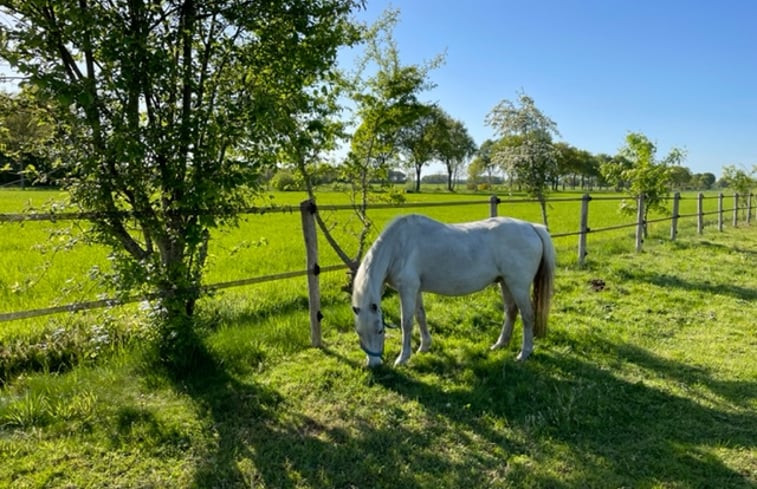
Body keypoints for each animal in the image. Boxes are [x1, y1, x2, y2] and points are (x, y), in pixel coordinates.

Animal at [350, 214, 556, 366]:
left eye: (380, 331)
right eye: (359, 333)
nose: (374, 365)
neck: (398, 246)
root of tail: (532, 227)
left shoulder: (407, 289)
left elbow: (406, 322)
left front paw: (403, 358)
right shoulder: (415, 289)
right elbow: (420, 315)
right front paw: (424, 347)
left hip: (518, 285)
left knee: (527, 316)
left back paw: (524, 354)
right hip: (505, 283)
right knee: (511, 311)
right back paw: (500, 344)